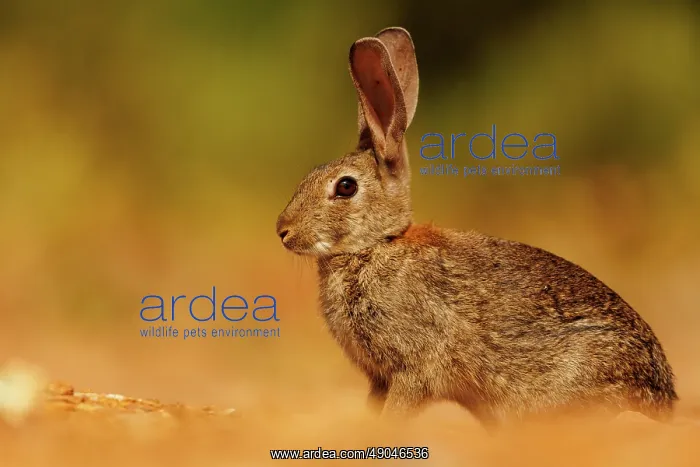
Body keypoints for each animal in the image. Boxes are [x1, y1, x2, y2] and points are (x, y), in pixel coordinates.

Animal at [275, 26, 677, 428]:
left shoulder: (414, 368)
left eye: (346, 187)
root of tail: (664, 399)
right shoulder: (379, 378)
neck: (375, 246)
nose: (283, 230)